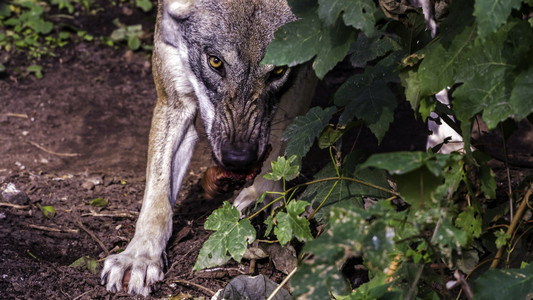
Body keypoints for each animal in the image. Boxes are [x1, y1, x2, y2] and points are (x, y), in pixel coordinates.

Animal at [100, 0, 316, 296]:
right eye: (215, 62)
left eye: (278, 71)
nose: (239, 159)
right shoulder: (173, 101)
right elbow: (157, 195)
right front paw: (139, 257)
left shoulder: (305, 69)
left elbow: (282, 146)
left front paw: (262, 195)